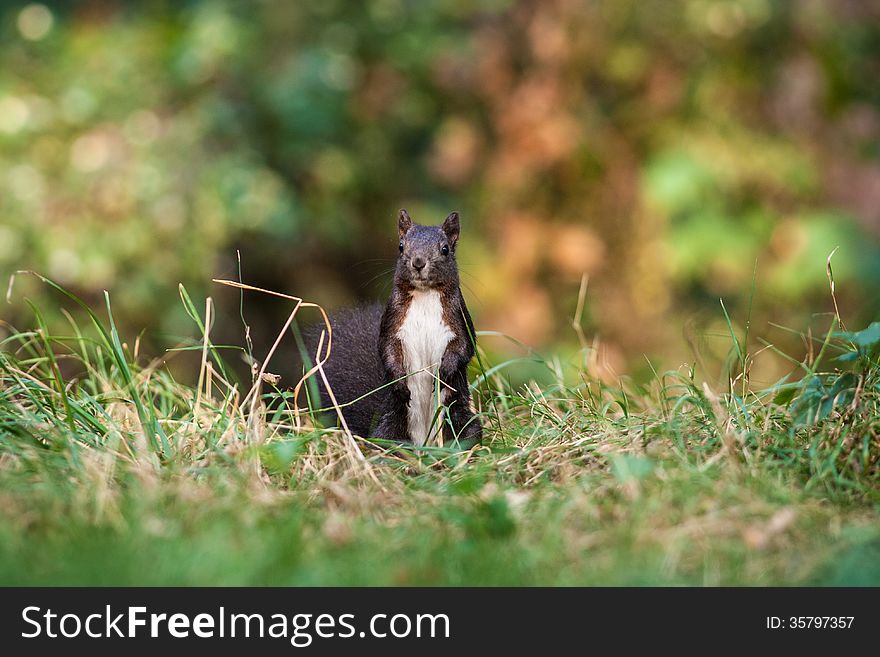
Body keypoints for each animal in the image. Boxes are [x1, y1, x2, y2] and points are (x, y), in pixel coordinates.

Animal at [302, 209, 482, 446]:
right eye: (401, 246)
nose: (418, 262)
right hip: (391, 426)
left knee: (467, 434)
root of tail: (424, 444)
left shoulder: (459, 318)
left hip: (460, 418)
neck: (425, 295)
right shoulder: (392, 321)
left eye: (445, 249)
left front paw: (444, 371)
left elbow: (464, 346)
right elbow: (386, 349)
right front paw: (400, 383)